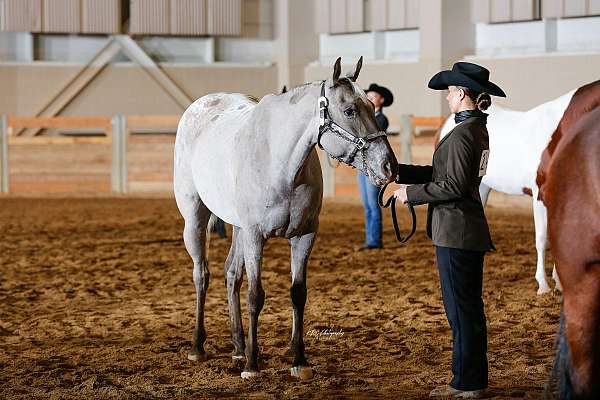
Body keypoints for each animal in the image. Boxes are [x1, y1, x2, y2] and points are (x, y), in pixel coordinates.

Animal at [173, 56, 398, 378]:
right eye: (350, 110)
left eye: (372, 105)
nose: (389, 167)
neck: (281, 163)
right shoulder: (255, 236)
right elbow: (255, 296)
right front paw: (253, 365)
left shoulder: (304, 235)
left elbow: (297, 293)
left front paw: (298, 359)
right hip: (195, 218)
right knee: (201, 275)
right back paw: (198, 347)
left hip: (238, 228)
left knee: (231, 275)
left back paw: (238, 347)